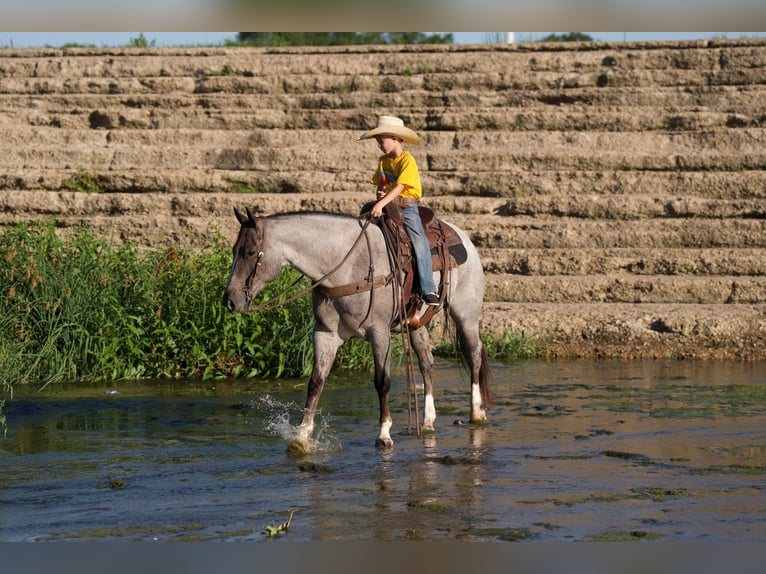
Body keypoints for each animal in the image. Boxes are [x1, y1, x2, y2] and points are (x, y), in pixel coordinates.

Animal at [222, 207, 491, 453]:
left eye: (250, 252)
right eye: (234, 250)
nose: (230, 301)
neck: (346, 265)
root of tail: (463, 236)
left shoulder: (379, 333)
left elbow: (382, 382)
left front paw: (384, 434)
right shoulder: (325, 334)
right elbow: (316, 382)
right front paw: (301, 437)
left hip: (466, 315)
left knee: (474, 354)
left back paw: (476, 412)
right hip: (416, 324)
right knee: (427, 362)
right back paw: (427, 421)